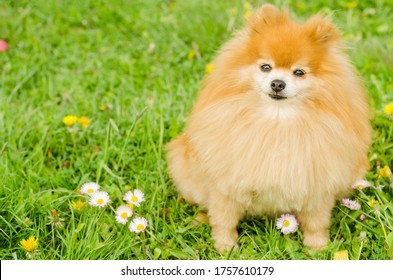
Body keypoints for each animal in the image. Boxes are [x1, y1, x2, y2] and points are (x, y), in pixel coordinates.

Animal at [165, 3, 370, 252]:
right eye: (266, 67)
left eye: (299, 72)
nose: (277, 83)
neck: (276, 121)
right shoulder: (226, 183)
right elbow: (223, 219)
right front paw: (225, 247)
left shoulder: (317, 186)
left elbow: (316, 222)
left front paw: (317, 248)